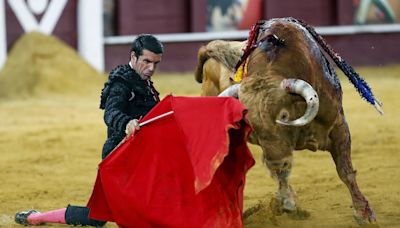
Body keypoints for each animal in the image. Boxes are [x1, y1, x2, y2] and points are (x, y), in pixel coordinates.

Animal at [195, 16, 382, 225]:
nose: (277, 162)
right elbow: (280, 174)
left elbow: (345, 171)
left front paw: (364, 213)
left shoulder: (338, 126)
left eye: (283, 116)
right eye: (252, 125)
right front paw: (288, 202)